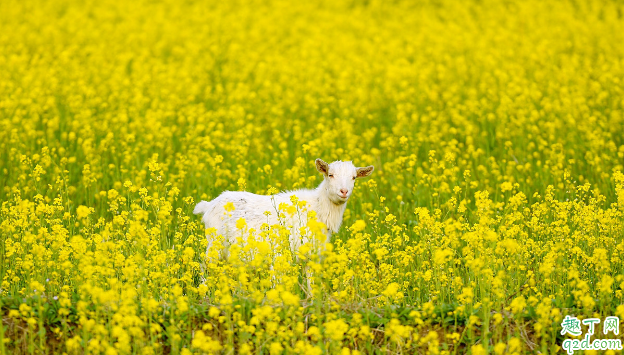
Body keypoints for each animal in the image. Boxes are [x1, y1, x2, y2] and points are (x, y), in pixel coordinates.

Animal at [193, 159, 372, 253]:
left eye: (354, 177)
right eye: (330, 175)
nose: (344, 191)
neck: (317, 207)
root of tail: (210, 204)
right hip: (214, 243)